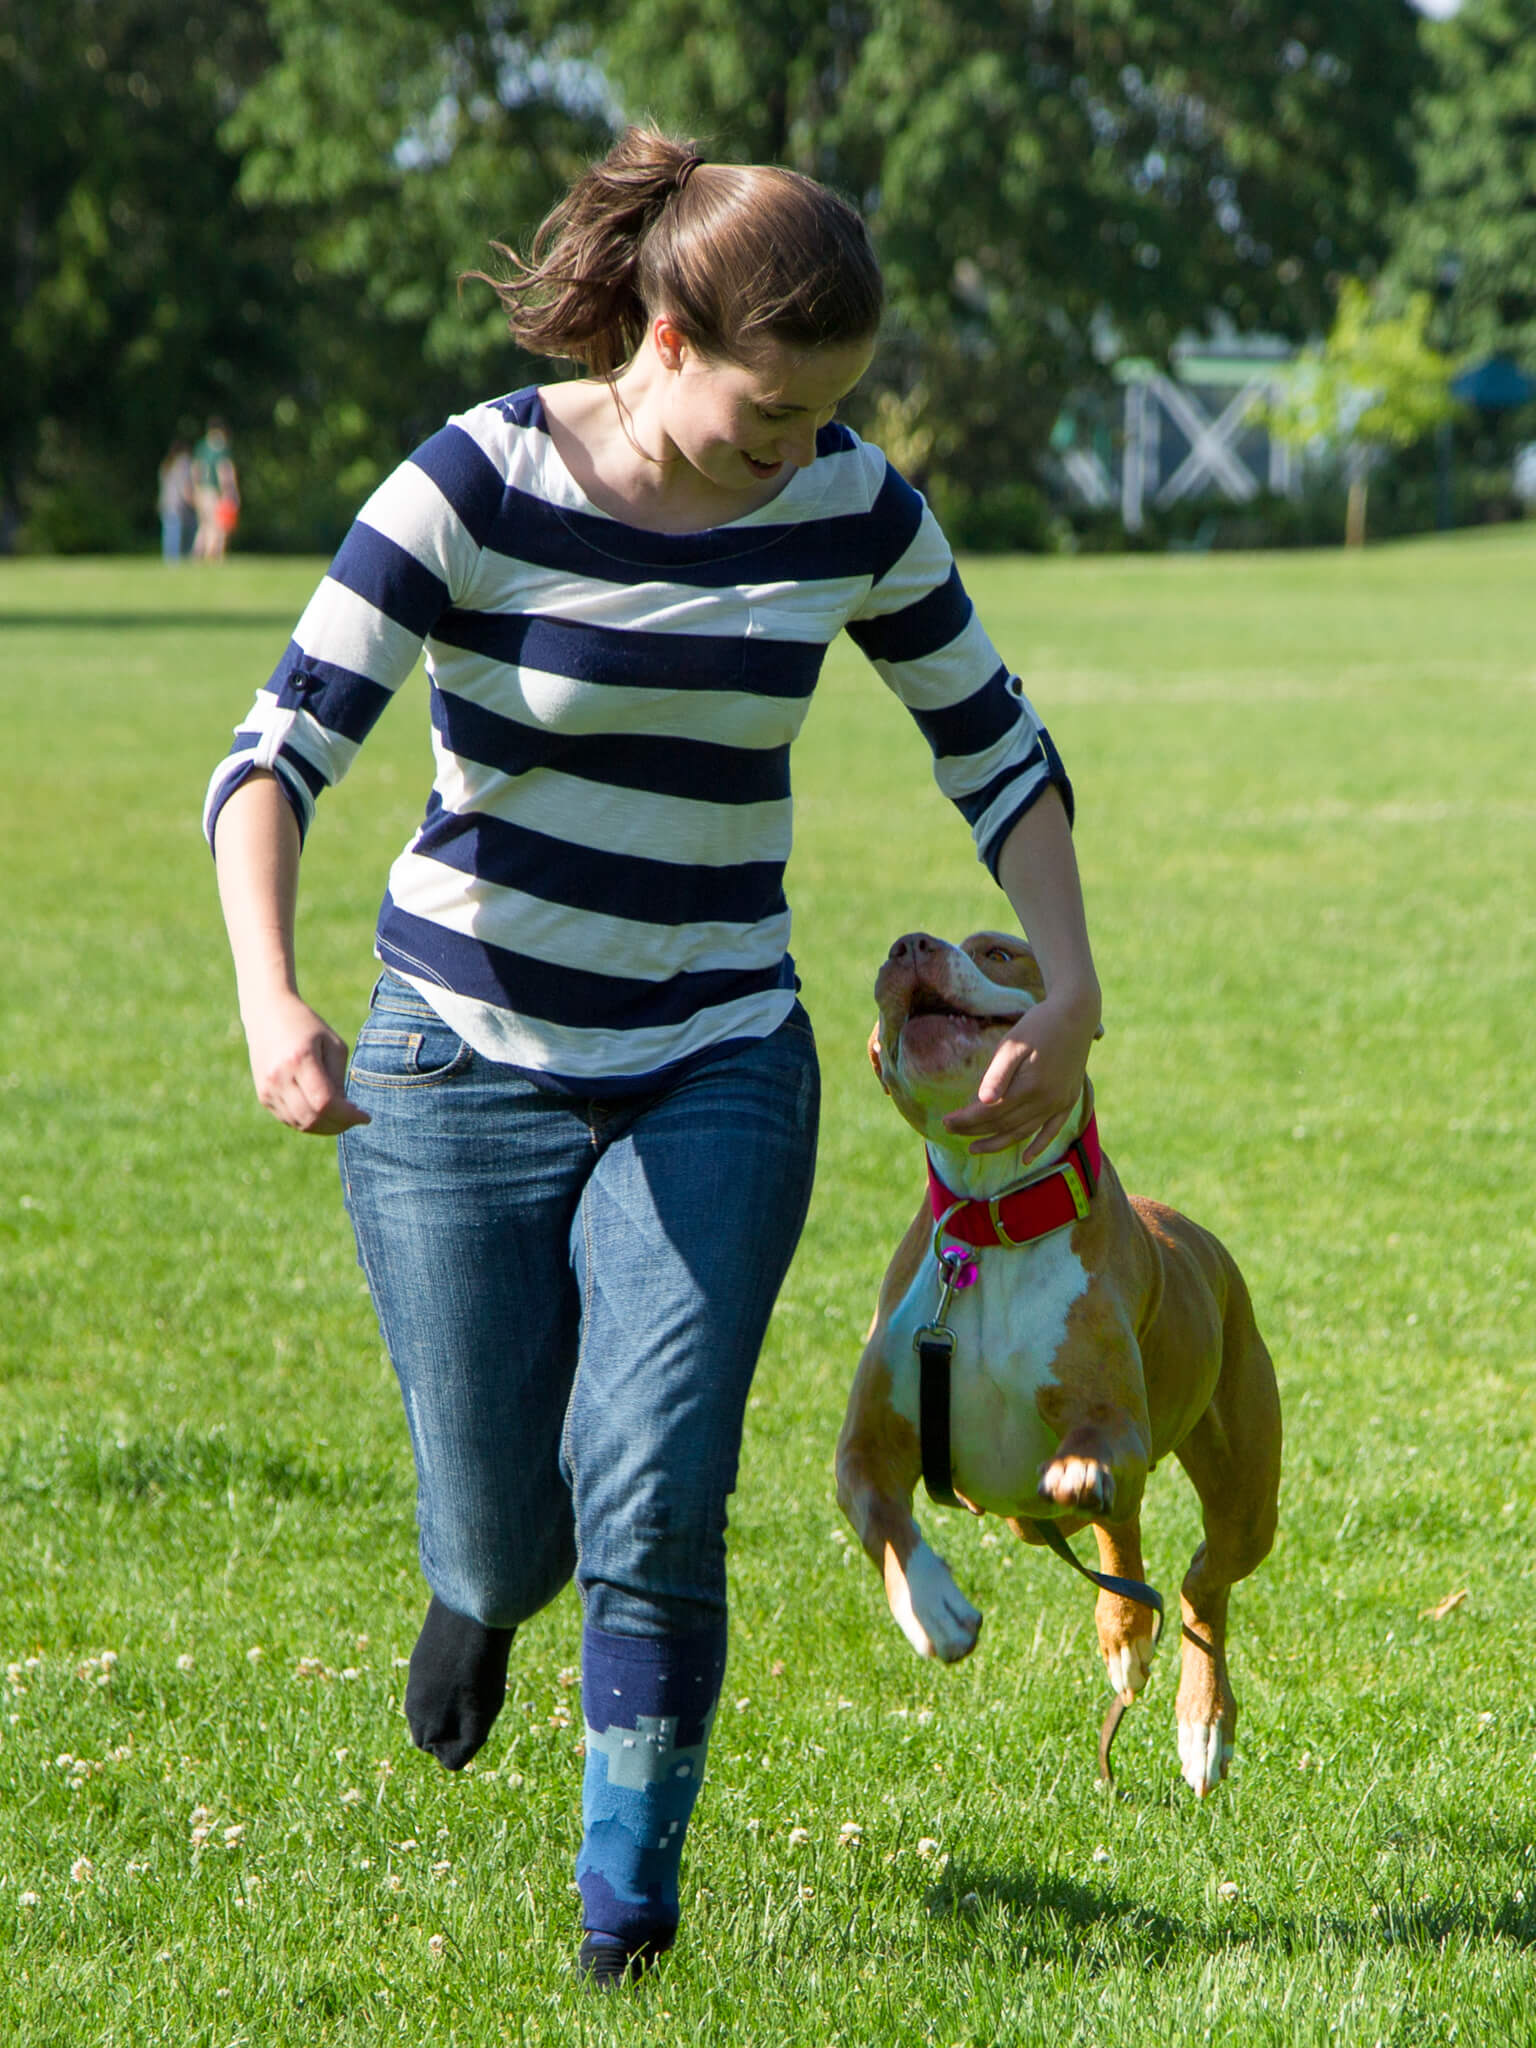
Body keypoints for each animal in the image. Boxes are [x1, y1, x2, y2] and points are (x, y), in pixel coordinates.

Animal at [835, 937, 1277, 1802]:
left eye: (999, 951)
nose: (909, 944)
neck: (990, 1222)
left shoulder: (1115, 1426)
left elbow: (1095, 1450)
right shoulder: (866, 1446)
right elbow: (881, 1521)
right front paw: (935, 1609)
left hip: (1246, 1499)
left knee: (1201, 1581)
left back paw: (1202, 1724)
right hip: (1029, 1518)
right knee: (1122, 1533)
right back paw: (1126, 1636)